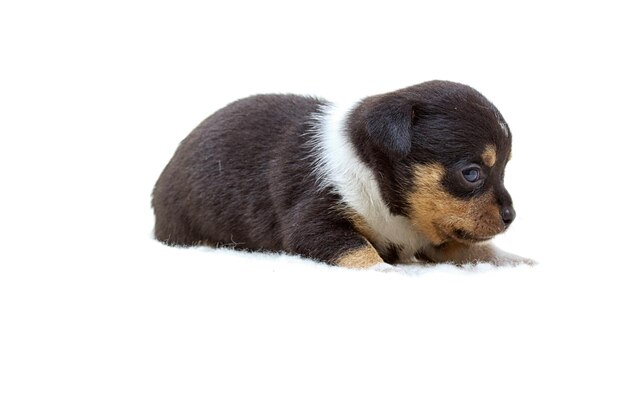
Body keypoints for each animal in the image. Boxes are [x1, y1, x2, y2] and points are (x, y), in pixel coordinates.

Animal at [151, 80, 528, 270]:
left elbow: (480, 251)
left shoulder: (436, 236)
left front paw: (520, 260)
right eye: (472, 173)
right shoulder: (313, 223)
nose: (511, 217)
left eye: (504, 168)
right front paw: (385, 271)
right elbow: (358, 248)